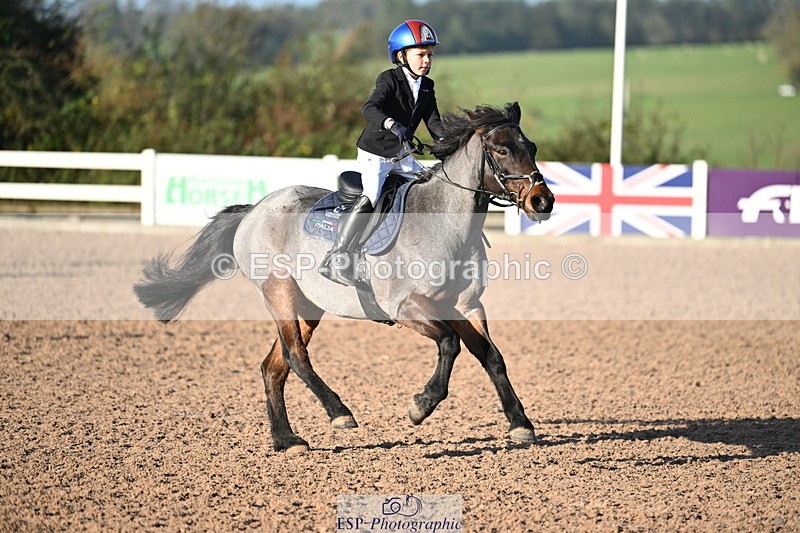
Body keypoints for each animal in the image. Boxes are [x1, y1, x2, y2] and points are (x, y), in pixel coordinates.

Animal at [134, 102, 555, 453]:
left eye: (531, 146)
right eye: (501, 150)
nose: (543, 201)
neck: (444, 223)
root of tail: (255, 208)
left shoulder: (466, 306)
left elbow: (491, 356)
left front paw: (520, 423)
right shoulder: (407, 306)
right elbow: (450, 344)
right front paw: (421, 406)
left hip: (308, 306)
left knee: (274, 366)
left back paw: (286, 440)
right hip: (278, 291)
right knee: (295, 355)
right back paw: (339, 413)